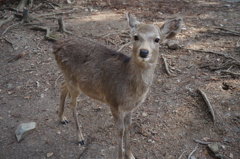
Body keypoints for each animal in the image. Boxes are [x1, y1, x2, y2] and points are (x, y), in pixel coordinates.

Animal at [53, 13, 183, 158]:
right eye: (135, 36)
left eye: (157, 39)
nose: (144, 52)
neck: (132, 91)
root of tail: (55, 45)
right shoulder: (113, 102)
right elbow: (120, 131)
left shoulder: (130, 108)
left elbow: (128, 127)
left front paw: (130, 155)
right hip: (73, 81)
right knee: (72, 103)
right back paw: (80, 137)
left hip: (70, 79)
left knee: (62, 85)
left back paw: (62, 118)